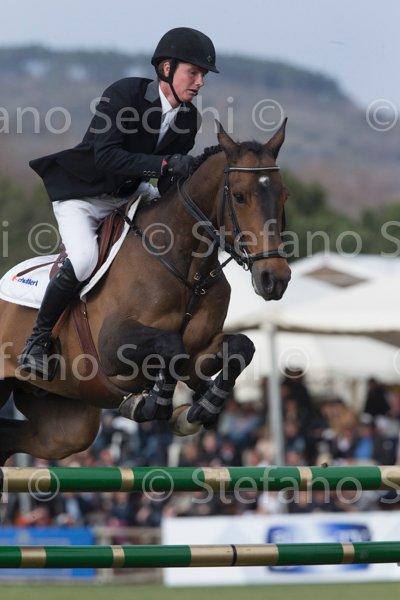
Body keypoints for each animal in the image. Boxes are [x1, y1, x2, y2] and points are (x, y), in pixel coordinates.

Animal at [0, 120, 291, 465]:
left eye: (284, 195)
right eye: (241, 196)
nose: (275, 279)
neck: (186, 267)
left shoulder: (200, 350)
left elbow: (240, 347)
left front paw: (199, 410)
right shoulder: (112, 348)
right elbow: (171, 345)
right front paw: (152, 404)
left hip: (65, 424)